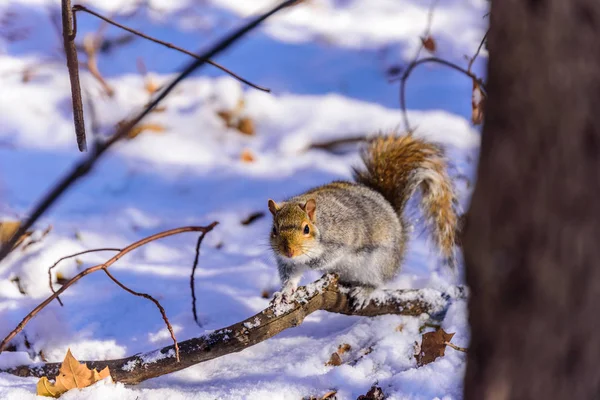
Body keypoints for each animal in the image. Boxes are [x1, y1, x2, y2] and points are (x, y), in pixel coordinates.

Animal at [268, 134, 454, 306]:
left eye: (306, 229)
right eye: (274, 230)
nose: (289, 251)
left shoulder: (344, 235)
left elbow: (330, 255)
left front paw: (312, 263)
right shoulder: (285, 261)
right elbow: (290, 276)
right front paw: (284, 292)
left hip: (378, 263)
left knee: (378, 282)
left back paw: (364, 291)